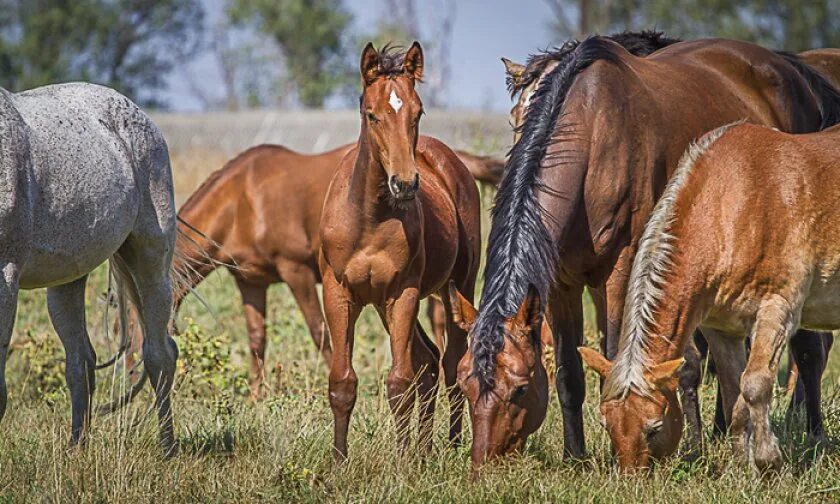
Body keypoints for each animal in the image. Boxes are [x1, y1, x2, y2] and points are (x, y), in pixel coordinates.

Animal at [0, 81, 177, 452]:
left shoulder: (4, 275)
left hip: (151, 264)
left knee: (159, 356)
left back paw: (168, 449)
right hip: (67, 280)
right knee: (81, 362)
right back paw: (76, 447)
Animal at [320, 42, 482, 460]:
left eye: (418, 111)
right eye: (371, 114)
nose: (405, 184)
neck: (369, 219)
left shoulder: (403, 293)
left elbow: (399, 382)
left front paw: (401, 459)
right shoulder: (339, 293)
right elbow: (342, 382)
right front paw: (339, 461)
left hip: (457, 286)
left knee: (450, 365)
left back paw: (450, 446)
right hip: (381, 305)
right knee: (428, 362)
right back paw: (424, 450)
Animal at [580, 122, 840, 472]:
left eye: (654, 428)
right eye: (607, 425)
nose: (631, 477)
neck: (733, 204)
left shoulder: (777, 312)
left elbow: (755, 386)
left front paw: (768, 462)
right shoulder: (721, 329)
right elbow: (734, 397)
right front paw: (740, 467)